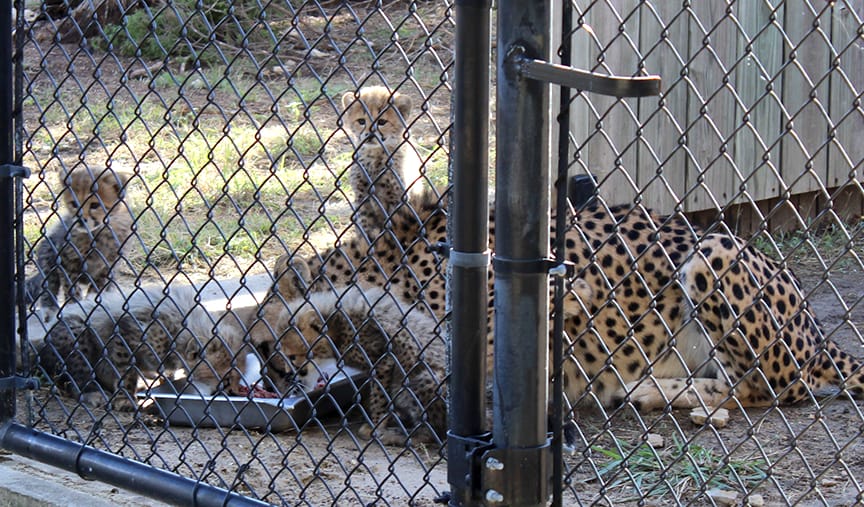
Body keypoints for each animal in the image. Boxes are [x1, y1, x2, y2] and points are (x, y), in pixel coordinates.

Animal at [25, 169, 132, 324]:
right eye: (74, 203)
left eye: (94, 205)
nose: (80, 220)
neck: (97, 233)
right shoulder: (66, 259)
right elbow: (70, 287)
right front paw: (74, 305)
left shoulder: (109, 265)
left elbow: (99, 286)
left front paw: (93, 303)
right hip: (49, 250)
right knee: (49, 284)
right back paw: (49, 310)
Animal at [39, 288, 248, 410]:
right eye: (226, 379)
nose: (234, 391)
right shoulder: (125, 331)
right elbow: (127, 370)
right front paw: (125, 399)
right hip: (75, 330)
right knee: (76, 377)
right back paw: (92, 392)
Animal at [248, 258, 446, 444]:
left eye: (290, 357)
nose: (271, 386)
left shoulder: (383, 359)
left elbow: (379, 394)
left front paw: (375, 425)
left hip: (425, 379)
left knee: (432, 431)